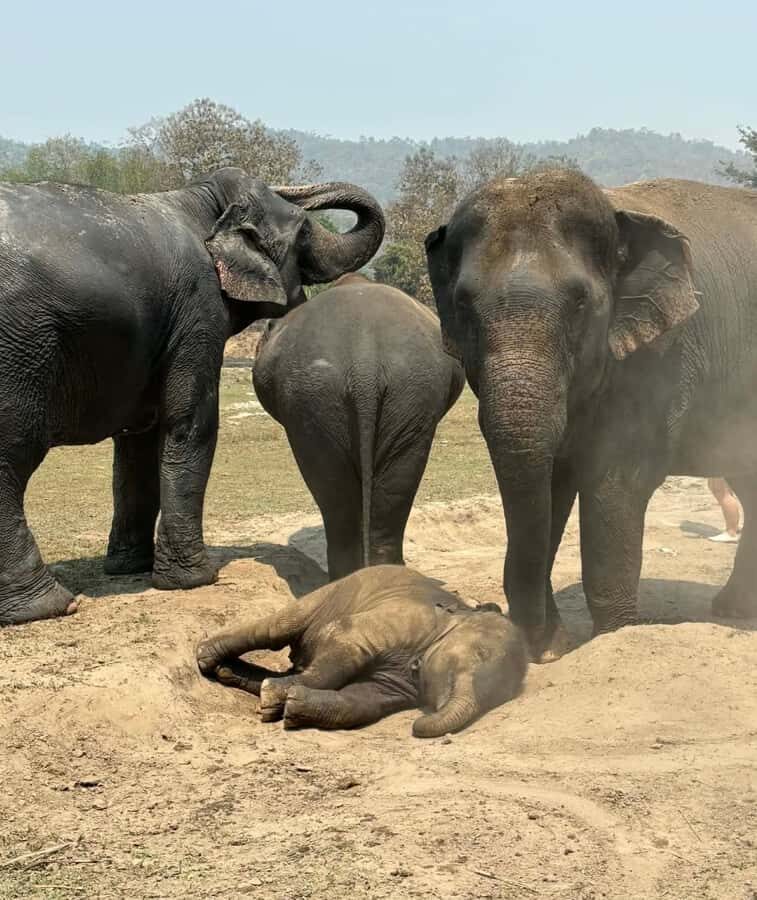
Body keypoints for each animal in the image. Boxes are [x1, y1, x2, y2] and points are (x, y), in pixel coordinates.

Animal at [0, 168, 384, 626]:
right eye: (304, 231)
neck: (201, 201)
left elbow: (137, 445)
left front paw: (129, 568)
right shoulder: (198, 308)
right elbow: (192, 423)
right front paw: (197, 579)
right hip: (19, 354)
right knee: (11, 459)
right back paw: (47, 606)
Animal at [196, 564, 527, 737]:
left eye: (504, 694)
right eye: (479, 655)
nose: (417, 725)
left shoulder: (401, 682)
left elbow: (364, 699)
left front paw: (290, 707)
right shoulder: (404, 620)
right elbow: (345, 645)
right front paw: (276, 698)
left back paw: (231, 675)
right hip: (328, 594)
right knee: (279, 628)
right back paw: (206, 658)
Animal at [425, 168, 757, 659]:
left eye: (580, 302)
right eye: (463, 304)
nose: (536, 646)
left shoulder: (660, 358)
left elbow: (616, 483)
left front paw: (617, 636)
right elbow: (553, 481)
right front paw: (555, 646)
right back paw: (734, 608)